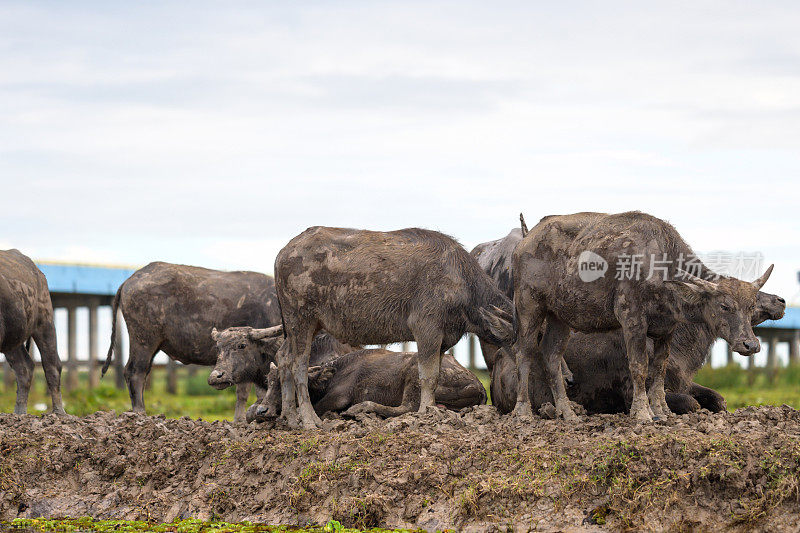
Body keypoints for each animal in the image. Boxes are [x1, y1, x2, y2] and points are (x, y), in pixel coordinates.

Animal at [0, 249, 65, 416]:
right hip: (14, 337)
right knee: (24, 367)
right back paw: (19, 413)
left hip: (45, 322)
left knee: (52, 365)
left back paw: (59, 412)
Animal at [101, 260, 282, 420]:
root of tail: (130, 280)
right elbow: (248, 390)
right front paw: (241, 419)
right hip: (144, 341)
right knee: (135, 372)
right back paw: (140, 413)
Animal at [274, 225, 512, 428]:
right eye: (516, 339)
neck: (462, 284)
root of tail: (282, 254)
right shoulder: (426, 328)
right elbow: (427, 376)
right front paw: (426, 412)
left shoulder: (444, 339)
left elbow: (434, 377)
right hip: (301, 318)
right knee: (299, 365)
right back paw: (309, 420)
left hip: (306, 325)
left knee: (283, 357)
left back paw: (289, 417)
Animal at [490, 288, 784, 414]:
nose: (780, 301)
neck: (684, 352)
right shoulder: (632, 391)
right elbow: (690, 403)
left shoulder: (683, 382)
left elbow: (719, 399)